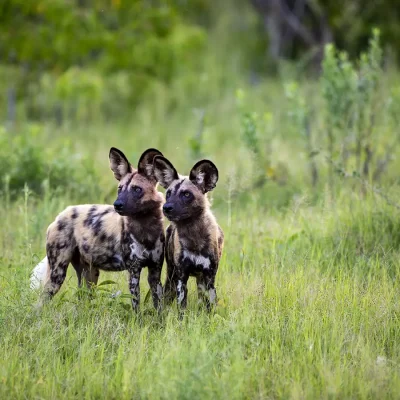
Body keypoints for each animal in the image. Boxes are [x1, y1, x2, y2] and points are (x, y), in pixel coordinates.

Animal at [30, 148, 166, 312]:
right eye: (120, 189)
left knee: (81, 301)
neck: (146, 229)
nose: (117, 204)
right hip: (57, 275)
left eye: (136, 189)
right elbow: (136, 305)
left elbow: (159, 307)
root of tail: (59, 216)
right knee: (40, 303)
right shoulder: (134, 271)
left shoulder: (155, 272)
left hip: (90, 275)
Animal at [152, 155, 223, 314]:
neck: (194, 236)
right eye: (168, 193)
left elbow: (210, 308)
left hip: (200, 281)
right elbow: (181, 310)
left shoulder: (210, 278)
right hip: (171, 277)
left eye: (186, 194)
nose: (166, 208)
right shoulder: (181, 278)